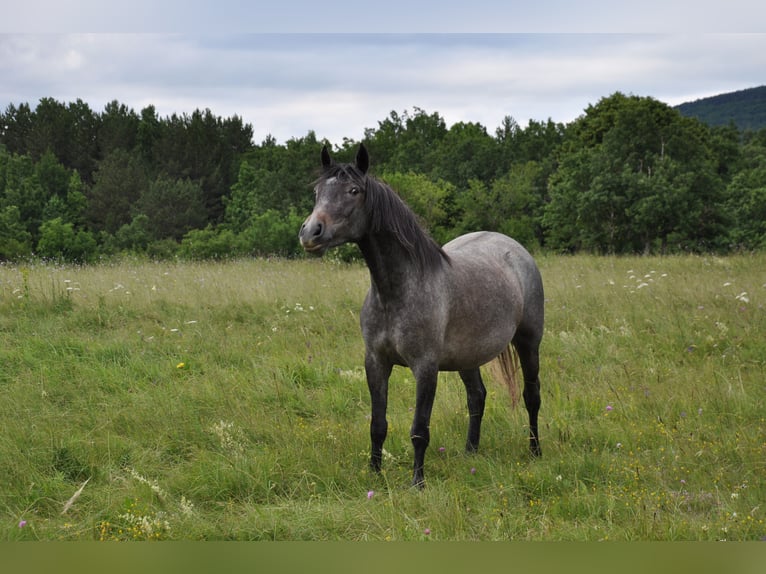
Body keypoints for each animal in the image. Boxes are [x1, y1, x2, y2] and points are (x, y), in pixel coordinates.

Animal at [300, 145, 544, 490]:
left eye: (353, 191)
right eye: (318, 191)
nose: (310, 233)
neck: (396, 292)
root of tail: (514, 248)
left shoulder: (425, 368)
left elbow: (419, 429)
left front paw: (418, 482)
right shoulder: (376, 362)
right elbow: (378, 424)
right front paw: (374, 473)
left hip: (529, 341)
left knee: (531, 395)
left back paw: (535, 451)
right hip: (467, 357)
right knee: (477, 397)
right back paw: (470, 452)